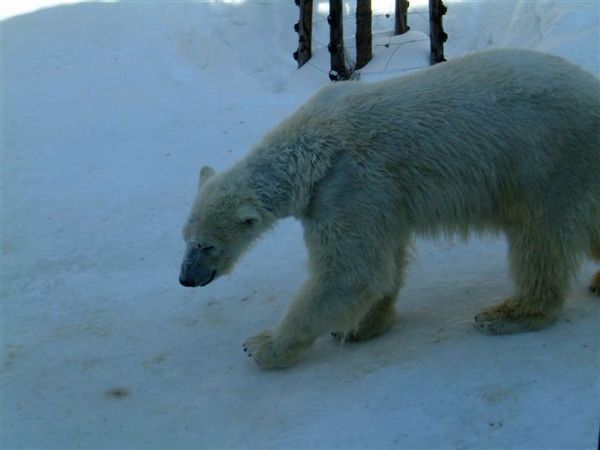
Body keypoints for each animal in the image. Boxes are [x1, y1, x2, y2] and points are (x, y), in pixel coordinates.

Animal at [179, 49, 600, 368]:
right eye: (185, 239)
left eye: (207, 246)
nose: (186, 279)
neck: (309, 149)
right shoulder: (378, 199)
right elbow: (383, 263)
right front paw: (359, 326)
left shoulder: (347, 187)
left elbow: (351, 272)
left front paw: (263, 345)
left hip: (549, 161)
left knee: (539, 239)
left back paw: (507, 313)